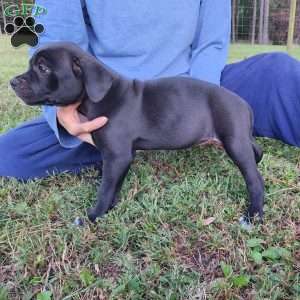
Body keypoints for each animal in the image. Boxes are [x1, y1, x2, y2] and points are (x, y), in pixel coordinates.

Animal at [9, 42, 264, 225]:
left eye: (43, 68)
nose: (12, 81)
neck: (98, 96)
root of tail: (245, 105)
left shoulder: (116, 156)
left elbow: (104, 189)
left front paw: (94, 216)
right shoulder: (121, 158)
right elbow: (114, 186)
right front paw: (109, 209)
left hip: (235, 143)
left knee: (255, 180)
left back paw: (253, 216)